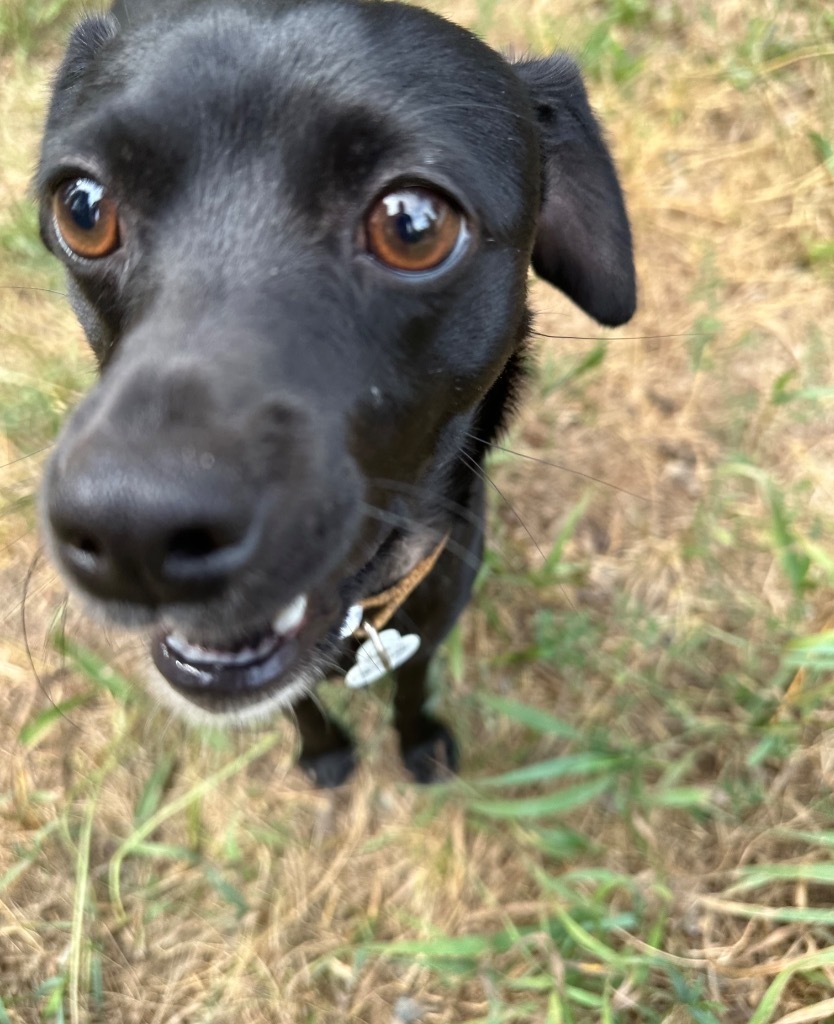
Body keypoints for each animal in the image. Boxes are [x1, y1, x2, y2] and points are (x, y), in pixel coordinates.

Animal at [35, 0, 635, 786]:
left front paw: (418, 741)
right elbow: (302, 704)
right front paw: (322, 753)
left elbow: (414, 684)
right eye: (81, 207)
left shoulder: (431, 621)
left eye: (413, 225)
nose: (132, 530)